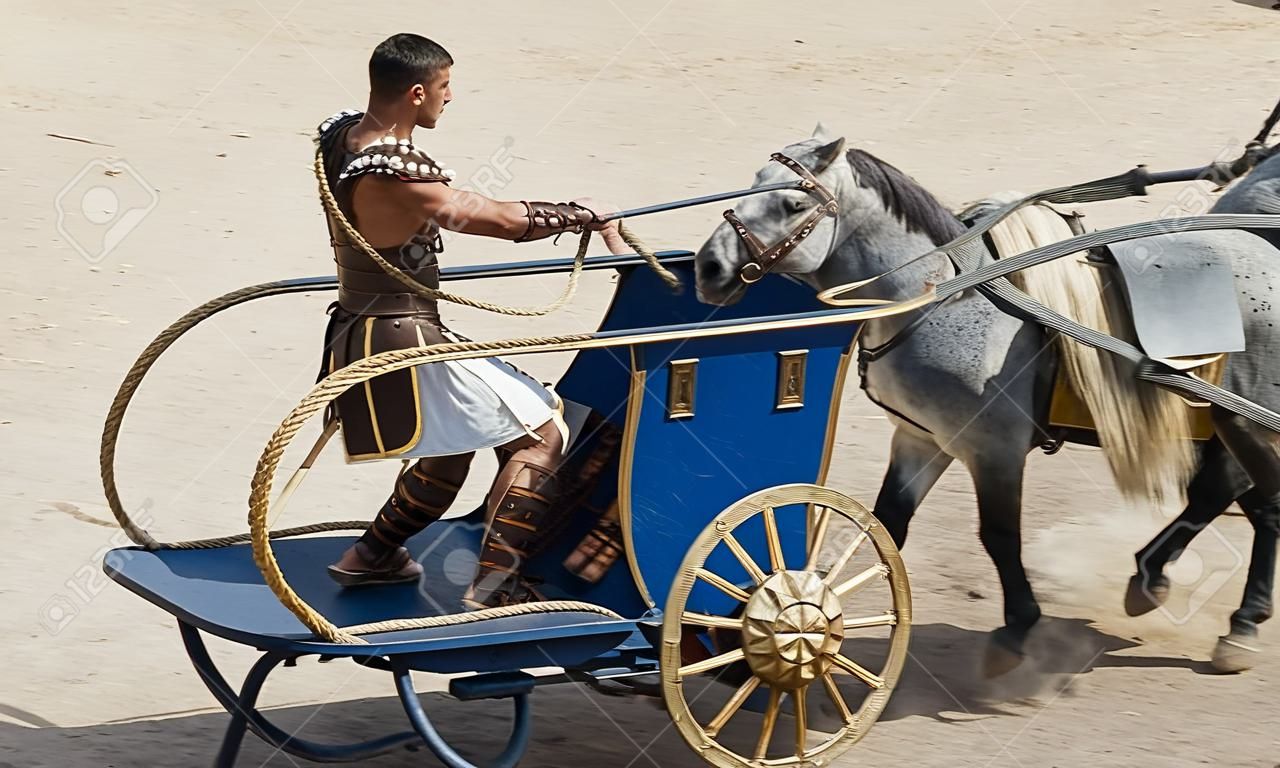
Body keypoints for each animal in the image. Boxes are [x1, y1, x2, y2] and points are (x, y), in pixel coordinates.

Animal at [696, 129, 1280, 675]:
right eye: (752, 182)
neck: (941, 299)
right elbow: (888, 523)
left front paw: (1018, 626)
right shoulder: (921, 438)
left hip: (1245, 423)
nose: (709, 267)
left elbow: (999, 535)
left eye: (793, 205)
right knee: (1226, 493)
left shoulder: (992, 448)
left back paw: (1240, 623)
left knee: (1255, 501)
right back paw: (1156, 578)